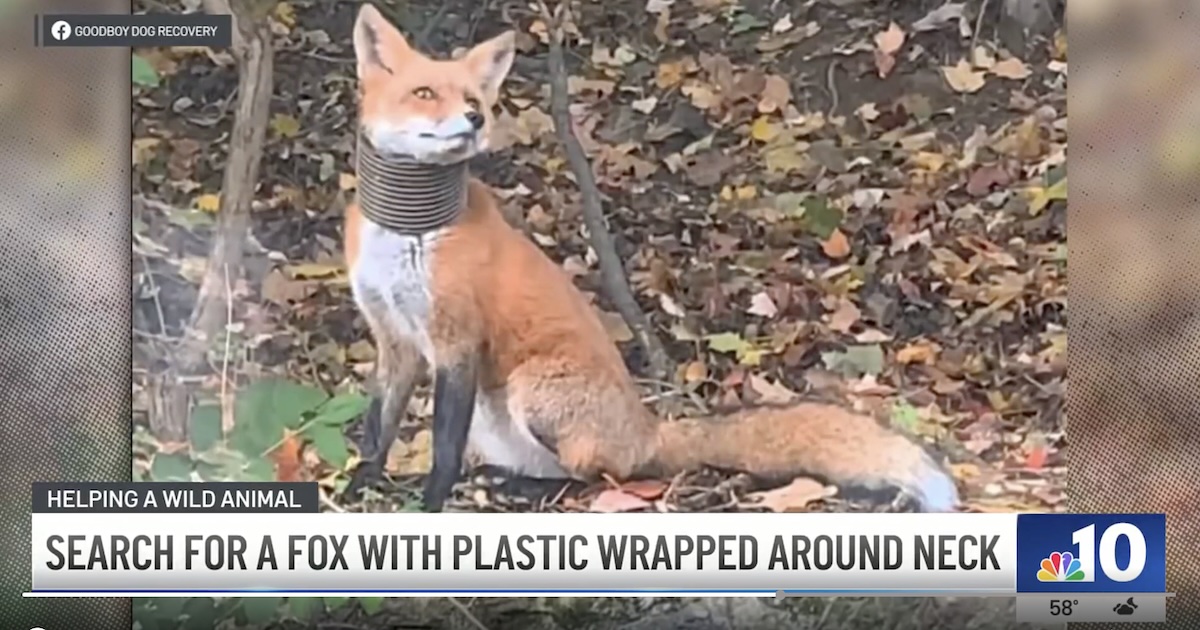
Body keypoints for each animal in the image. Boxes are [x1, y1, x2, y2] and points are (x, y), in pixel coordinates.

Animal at [341, 3, 960, 513]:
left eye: (474, 100)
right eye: (425, 93)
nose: (473, 120)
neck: (408, 229)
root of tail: (649, 427)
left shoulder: (457, 340)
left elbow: (442, 448)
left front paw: (430, 505)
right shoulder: (394, 338)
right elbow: (378, 427)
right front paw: (360, 484)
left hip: (532, 389)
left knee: (596, 477)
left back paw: (525, 490)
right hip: (496, 421)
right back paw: (497, 480)